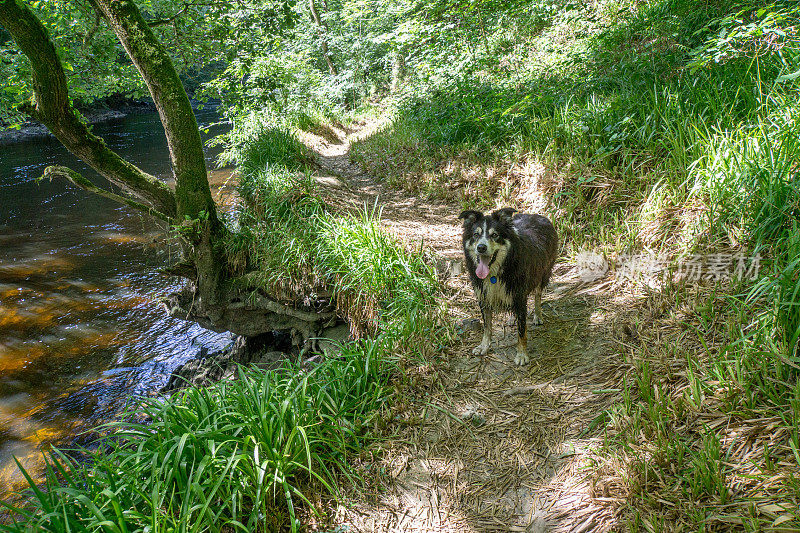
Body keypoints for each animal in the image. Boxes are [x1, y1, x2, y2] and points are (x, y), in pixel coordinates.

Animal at [460, 208, 560, 366]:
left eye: (495, 235)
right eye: (476, 234)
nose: (481, 247)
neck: (496, 272)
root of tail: (538, 216)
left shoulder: (519, 296)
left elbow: (522, 329)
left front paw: (522, 354)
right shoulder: (484, 296)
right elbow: (487, 326)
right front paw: (484, 346)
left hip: (542, 273)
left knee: (538, 296)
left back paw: (537, 316)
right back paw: (512, 319)